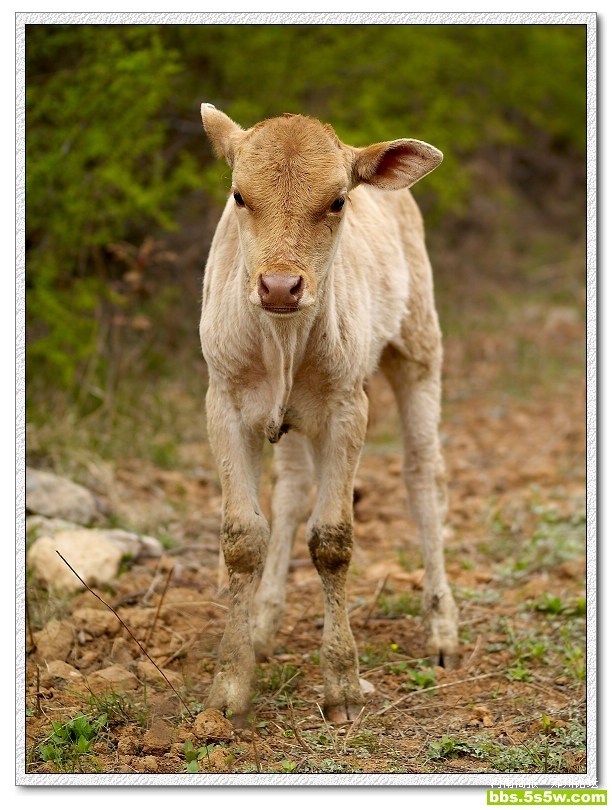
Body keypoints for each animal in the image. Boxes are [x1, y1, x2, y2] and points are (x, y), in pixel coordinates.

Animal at [200, 105, 460, 720]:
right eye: (239, 195)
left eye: (338, 201)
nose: (279, 286)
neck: (282, 340)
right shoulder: (223, 402)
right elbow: (243, 538)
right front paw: (231, 683)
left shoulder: (347, 406)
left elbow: (333, 540)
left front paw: (342, 682)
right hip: (294, 421)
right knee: (294, 490)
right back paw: (265, 624)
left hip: (420, 347)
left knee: (425, 477)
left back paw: (441, 627)